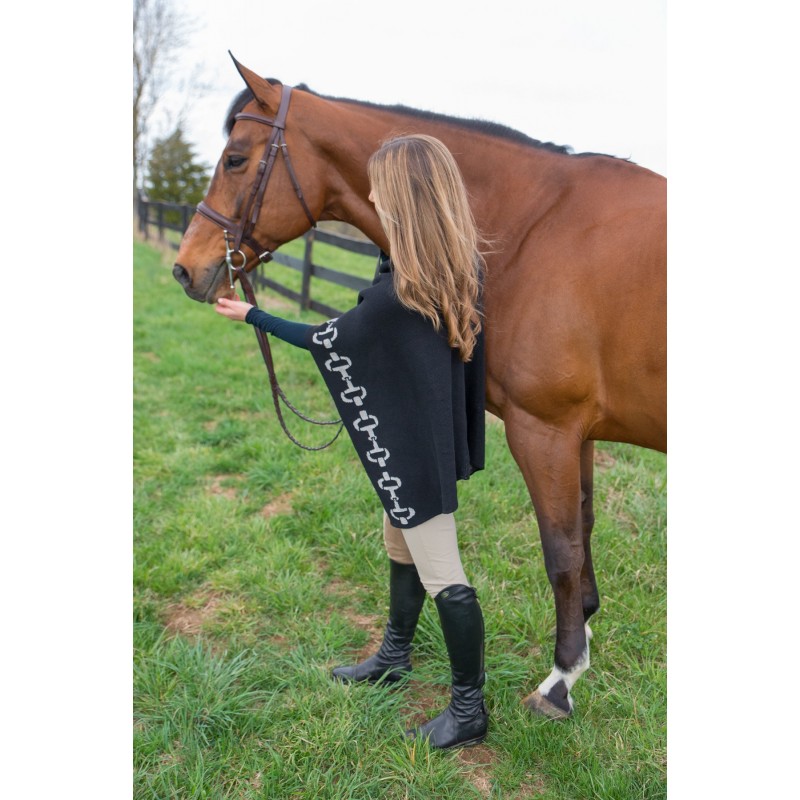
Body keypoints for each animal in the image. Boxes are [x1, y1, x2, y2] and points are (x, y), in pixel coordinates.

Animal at [173, 56, 666, 720]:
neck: (535, 227)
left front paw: (560, 680)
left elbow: (560, 550)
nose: (186, 268)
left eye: (234, 158)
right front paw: (582, 635)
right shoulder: (579, 434)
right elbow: (583, 535)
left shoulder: (546, 430)